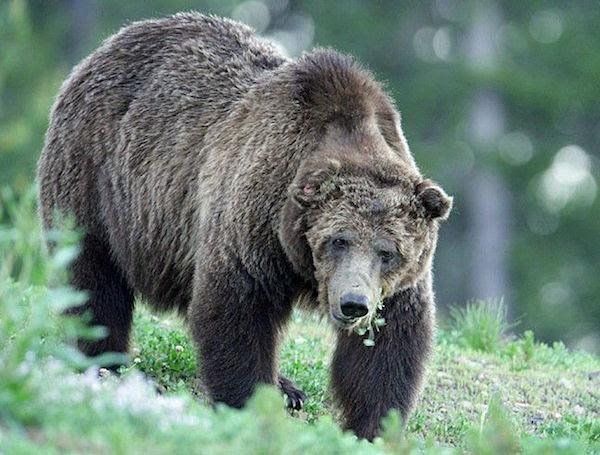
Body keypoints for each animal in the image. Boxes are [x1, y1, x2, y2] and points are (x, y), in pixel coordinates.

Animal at [37, 12, 450, 440]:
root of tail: (106, 46)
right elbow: (237, 311)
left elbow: (389, 344)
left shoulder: (399, 280)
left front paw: (370, 426)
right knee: (92, 277)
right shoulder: (254, 221)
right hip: (97, 178)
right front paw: (250, 403)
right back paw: (107, 362)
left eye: (388, 252)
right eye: (338, 240)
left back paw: (288, 387)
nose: (353, 303)